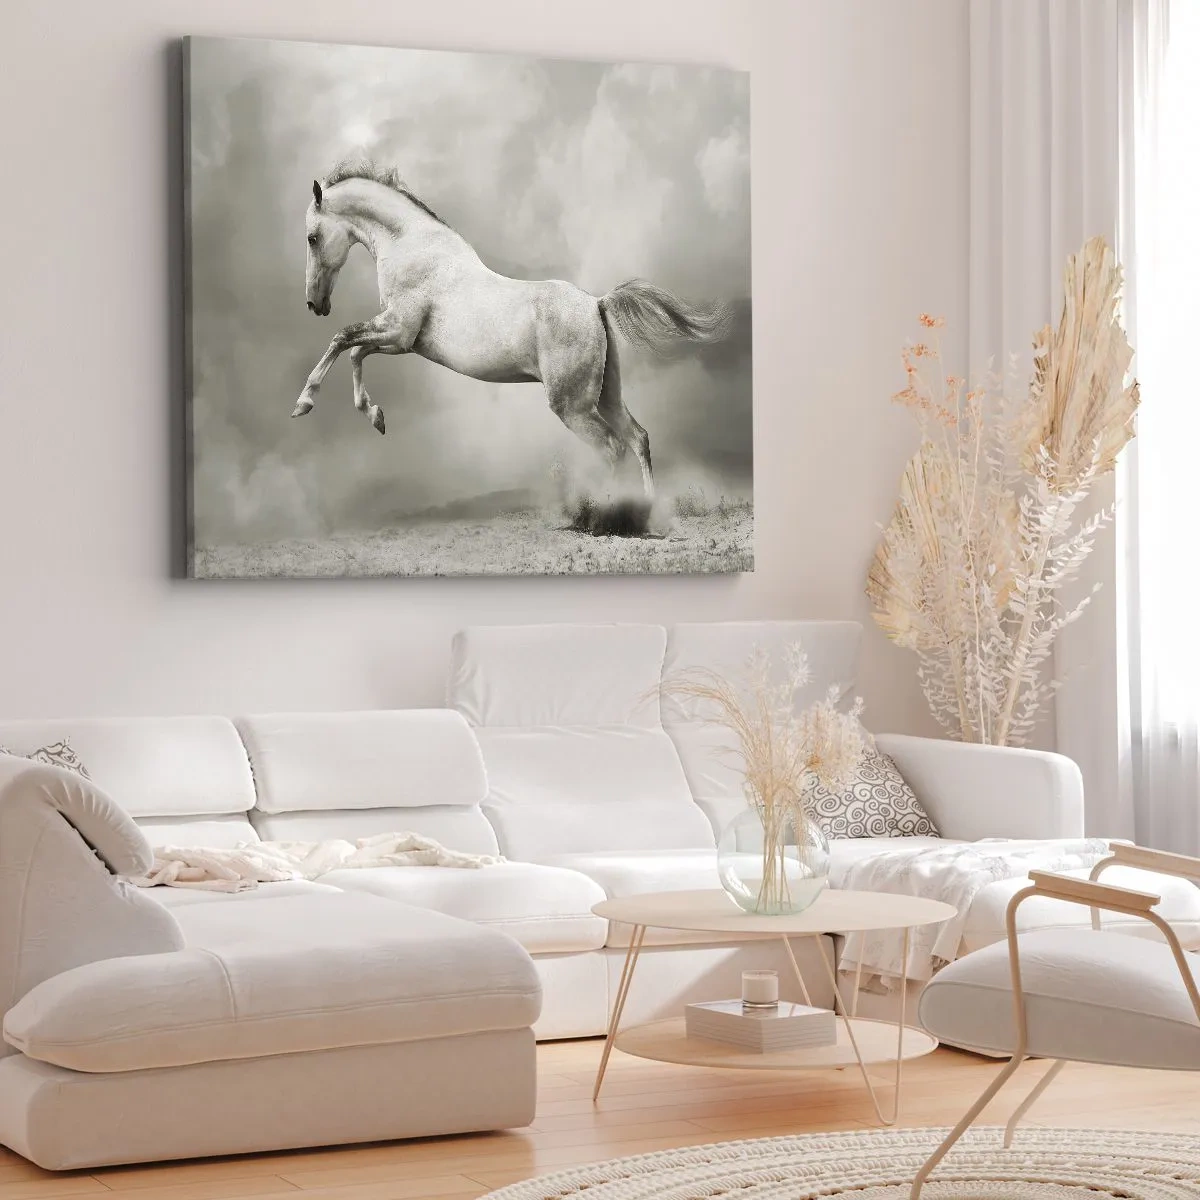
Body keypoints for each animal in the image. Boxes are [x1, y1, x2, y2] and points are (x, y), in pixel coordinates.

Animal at [294, 159, 730, 500]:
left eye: (312, 238)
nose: (315, 305)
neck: (413, 248)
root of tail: (596, 304)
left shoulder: (399, 334)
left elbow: (343, 340)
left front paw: (304, 403)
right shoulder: (397, 338)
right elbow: (354, 350)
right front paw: (376, 416)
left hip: (572, 406)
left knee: (612, 449)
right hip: (607, 396)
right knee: (638, 439)